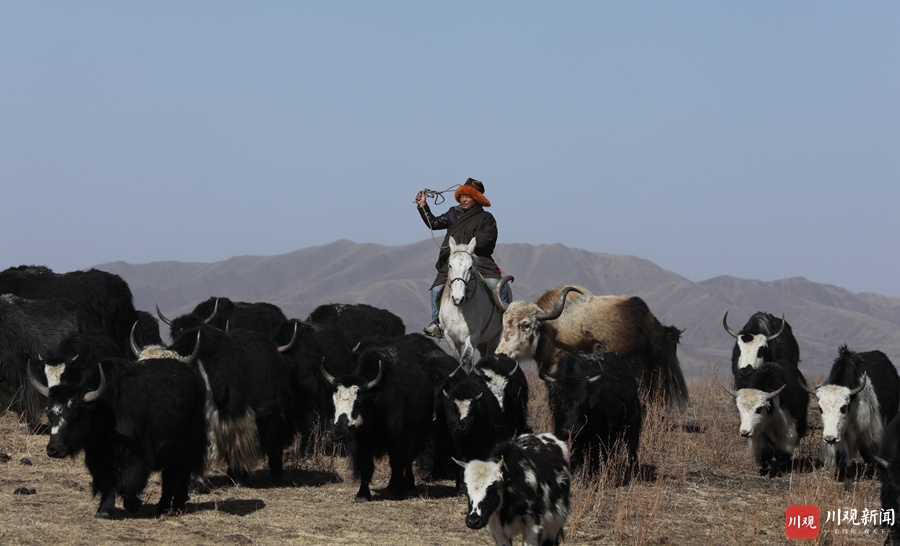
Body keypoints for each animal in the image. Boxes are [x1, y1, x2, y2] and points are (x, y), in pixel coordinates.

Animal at [440, 234, 510, 370]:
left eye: (470, 267)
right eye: (450, 265)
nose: (458, 297)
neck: (460, 310)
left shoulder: (473, 336)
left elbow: (466, 360)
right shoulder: (449, 336)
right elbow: (456, 359)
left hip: (493, 336)